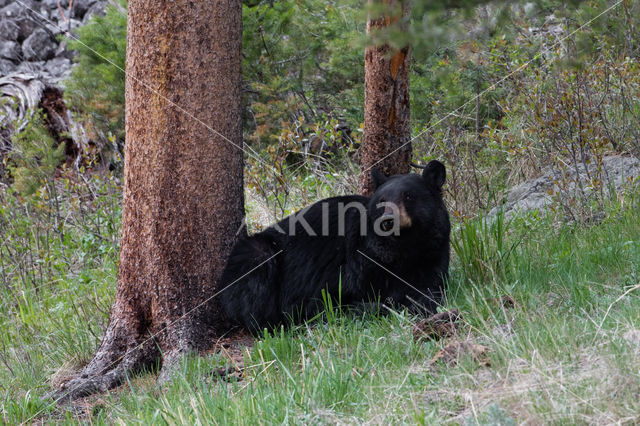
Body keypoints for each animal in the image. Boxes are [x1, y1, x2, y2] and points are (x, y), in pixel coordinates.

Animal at [220, 160, 450, 332]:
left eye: (408, 196)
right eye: (382, 200)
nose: (387, 221)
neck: (401, 248)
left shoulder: (433, 253)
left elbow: (432, 288)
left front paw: (418, 301)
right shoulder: (355, 262)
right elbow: (328, 297)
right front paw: (377, 305)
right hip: (257, 253)